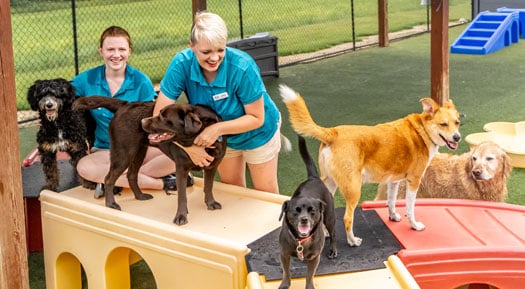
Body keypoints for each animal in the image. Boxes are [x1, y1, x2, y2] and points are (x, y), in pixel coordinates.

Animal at [278, 84, 458, 246]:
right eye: (443, 124)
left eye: (457, 122)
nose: (457, 137)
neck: (421, 130)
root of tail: (333, 132)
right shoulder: (414, 181)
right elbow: (410, 207)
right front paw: (414, 225)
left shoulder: (394, 181)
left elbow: (391, 201)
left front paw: (393, 216)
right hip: (354, 189)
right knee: (347, 217)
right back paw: (352, 241)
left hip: (329, 185)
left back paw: (326, 233)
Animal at [278, 135, 336, 288]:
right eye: (296, 211)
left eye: (312, 211)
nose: (304, 219)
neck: (301, 241)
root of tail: (313, 178)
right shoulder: (284, 254)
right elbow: (287, 272)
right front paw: (285, 284)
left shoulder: (315, 258)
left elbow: (309, 275)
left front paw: (309, 286)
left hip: (329, 218)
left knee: (333, 234)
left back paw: (333, 250)